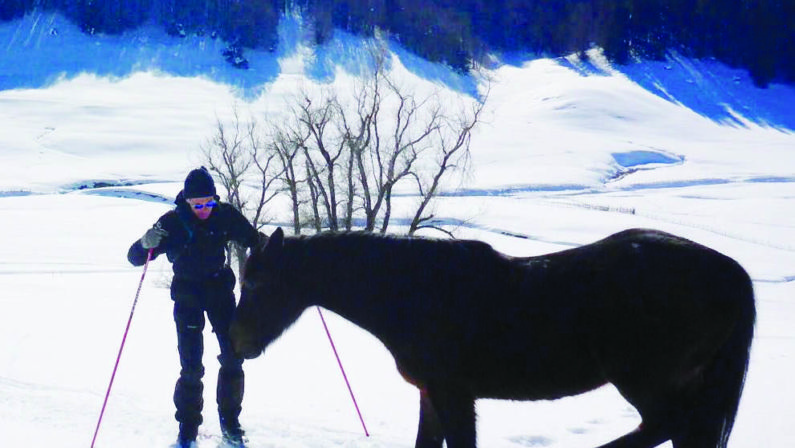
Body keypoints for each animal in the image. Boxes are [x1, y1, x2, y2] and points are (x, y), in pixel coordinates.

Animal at [229, 228, 752, 448]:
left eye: (256, 284)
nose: (235, 343)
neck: (414, 290)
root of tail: (732, 273)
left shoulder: (454, 394)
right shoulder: (432, 394)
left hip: (643, 379)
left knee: (664, 427)